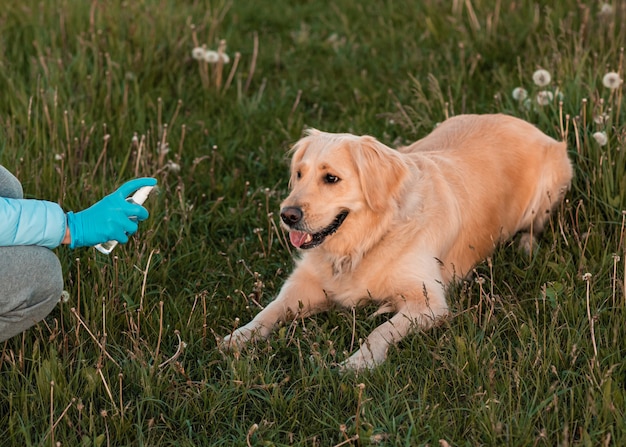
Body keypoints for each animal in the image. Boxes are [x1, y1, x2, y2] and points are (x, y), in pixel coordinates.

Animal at [221, 113, 572, 372]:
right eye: (298, 174)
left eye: (331, 178)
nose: (287, 215)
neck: (366, 240)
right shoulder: (304, 282)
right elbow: (270, 309)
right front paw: (240, 336)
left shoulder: (429, 302)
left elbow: (381, 329)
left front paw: (359, 362)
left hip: (548, 190)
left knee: (533, 228)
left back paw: (525, 247)